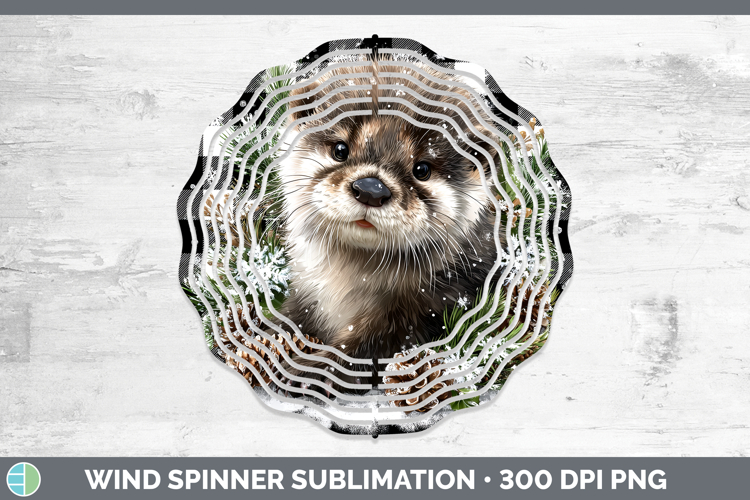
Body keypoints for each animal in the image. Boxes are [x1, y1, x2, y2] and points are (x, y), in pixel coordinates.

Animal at [273, 58, 505, 387]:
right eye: (340, 150)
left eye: (422, 169)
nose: (371, 189)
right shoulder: (306, 293)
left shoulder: (429, 308)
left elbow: (361, 352)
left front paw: (305, 374)